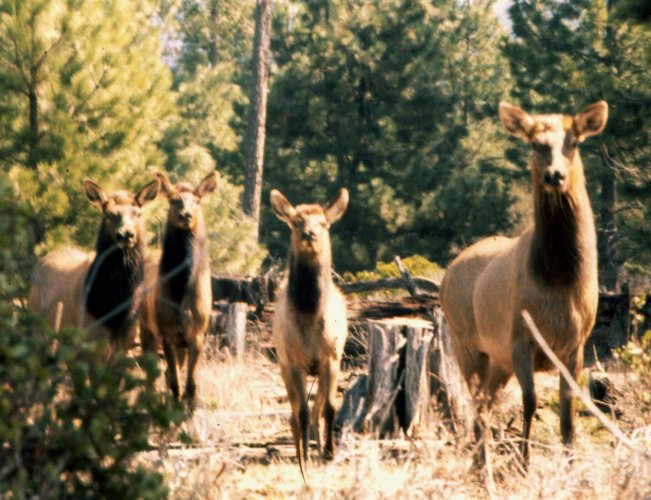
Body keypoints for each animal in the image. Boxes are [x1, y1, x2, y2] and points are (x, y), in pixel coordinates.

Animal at [28, 178, 161, 357]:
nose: (126, 234)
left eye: (138, 213)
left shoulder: (125, 343)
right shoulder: (90, 341)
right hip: (38, 325)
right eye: (108, 214)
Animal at [139, 171, 217, 406]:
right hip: (146, 328)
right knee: (151, 373)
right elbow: (174, 381)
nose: (186, 215)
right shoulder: (167, 332)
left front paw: (188, 409)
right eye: (174, 200)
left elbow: (191, 384)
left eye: (197, 200)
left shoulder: (197, 333)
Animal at [270, 187, 349, 474]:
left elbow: (330, 407)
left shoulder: (332, 358)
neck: (310, 315)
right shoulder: (293, 362)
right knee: (295, 412)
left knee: (316, 410)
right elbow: (301, 411)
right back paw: (303, 445)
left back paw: (317, 444)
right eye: (296, 222)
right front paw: (303, 453)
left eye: (323, 222)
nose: (310, 234)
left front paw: (329, 451)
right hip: (283, 365)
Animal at [440, 100, 608, 467]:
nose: (555, 175)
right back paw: (481, 464)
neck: (559, 282)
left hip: (497, 360)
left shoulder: (576, 344)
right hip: (466, 343)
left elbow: (568, 413)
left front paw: (570, 464)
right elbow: (530, 402)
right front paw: (524, 462)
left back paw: (481, 463)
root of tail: (445, 277)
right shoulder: (519, 338)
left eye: (574, 141)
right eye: (535, 143)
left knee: (486, 404)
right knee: (477, 405)